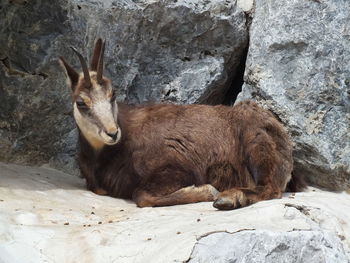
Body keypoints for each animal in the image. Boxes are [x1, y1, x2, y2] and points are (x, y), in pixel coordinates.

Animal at [58, 38, 304, 210]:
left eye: (113, 93)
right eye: (81, 102)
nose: (112, 133)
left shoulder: (175, 166)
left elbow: (142, 196)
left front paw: (208, 190)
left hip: (256, 142)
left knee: (270, 188)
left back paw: (229, 198)